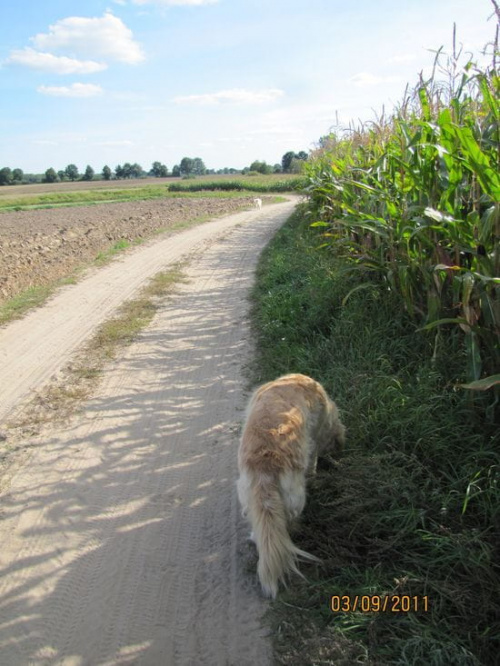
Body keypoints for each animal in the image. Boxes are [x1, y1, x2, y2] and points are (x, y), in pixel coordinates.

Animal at [236, 374, 346, 596]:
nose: (340, 446)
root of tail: (265, 465)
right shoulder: (315, 439)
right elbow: (313, 458)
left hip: (248, 496)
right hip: (296, 497)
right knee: (289, 522)